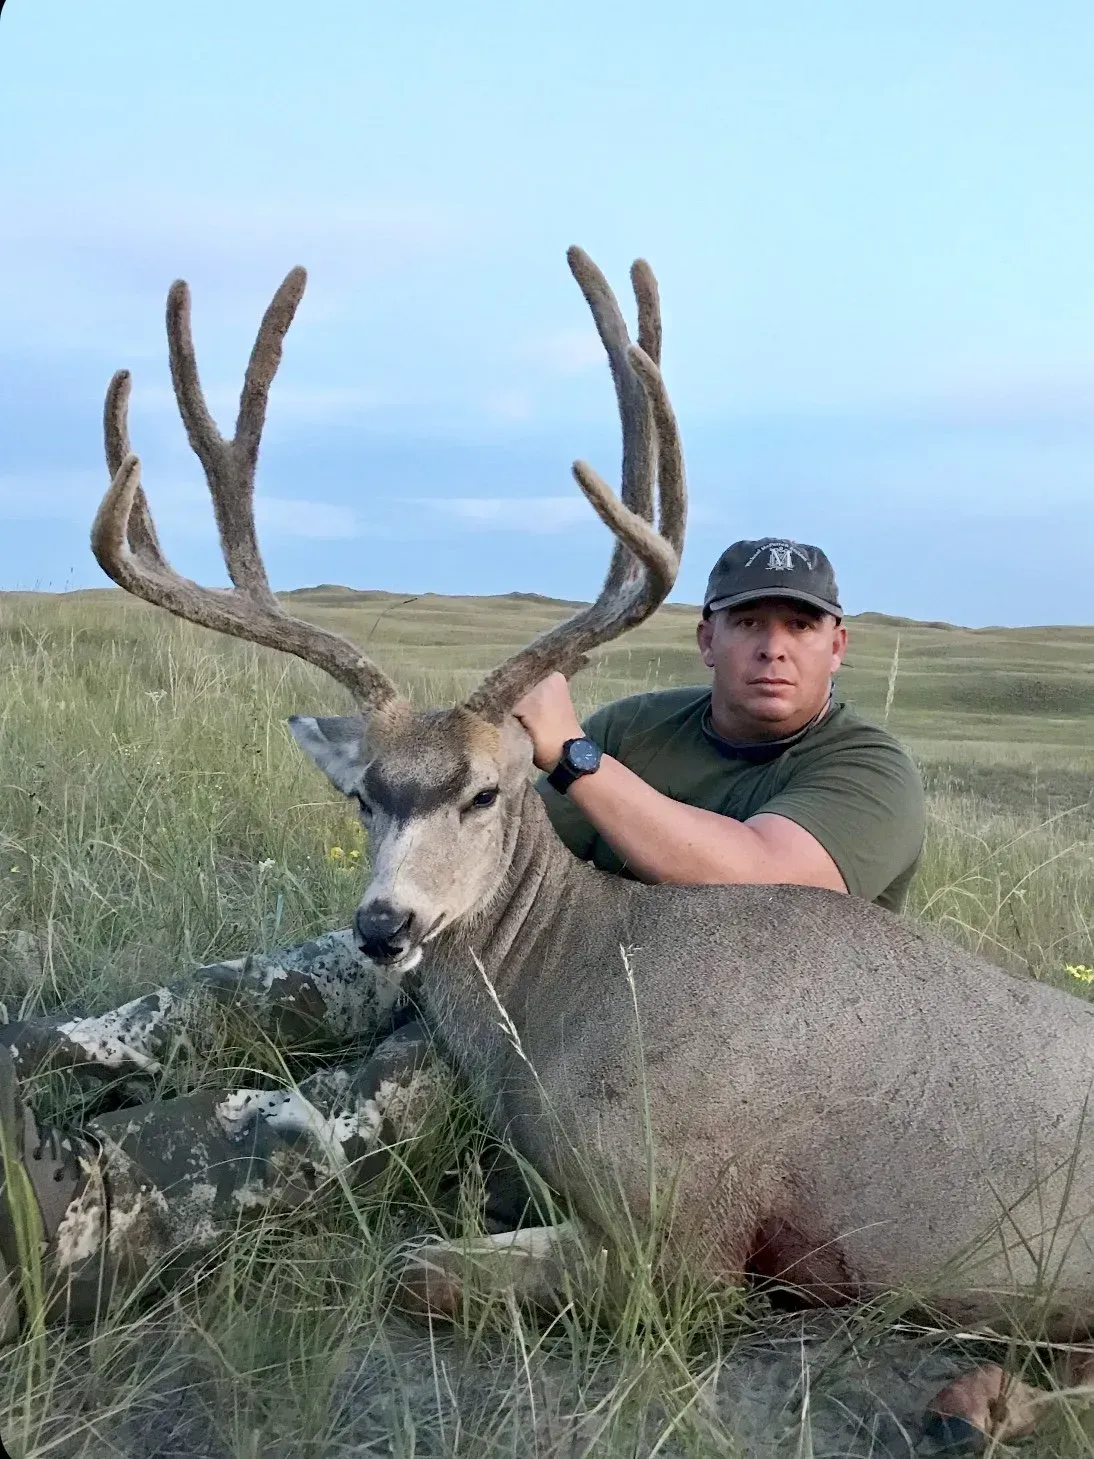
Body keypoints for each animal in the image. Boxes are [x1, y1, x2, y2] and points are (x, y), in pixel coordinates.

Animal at [92, 248, 1094, 1448]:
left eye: (484, 792)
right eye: (364, 798)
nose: (383, 924)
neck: (571, 990)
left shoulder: (690, 1235)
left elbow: (414, 1268)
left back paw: (975, 1401)